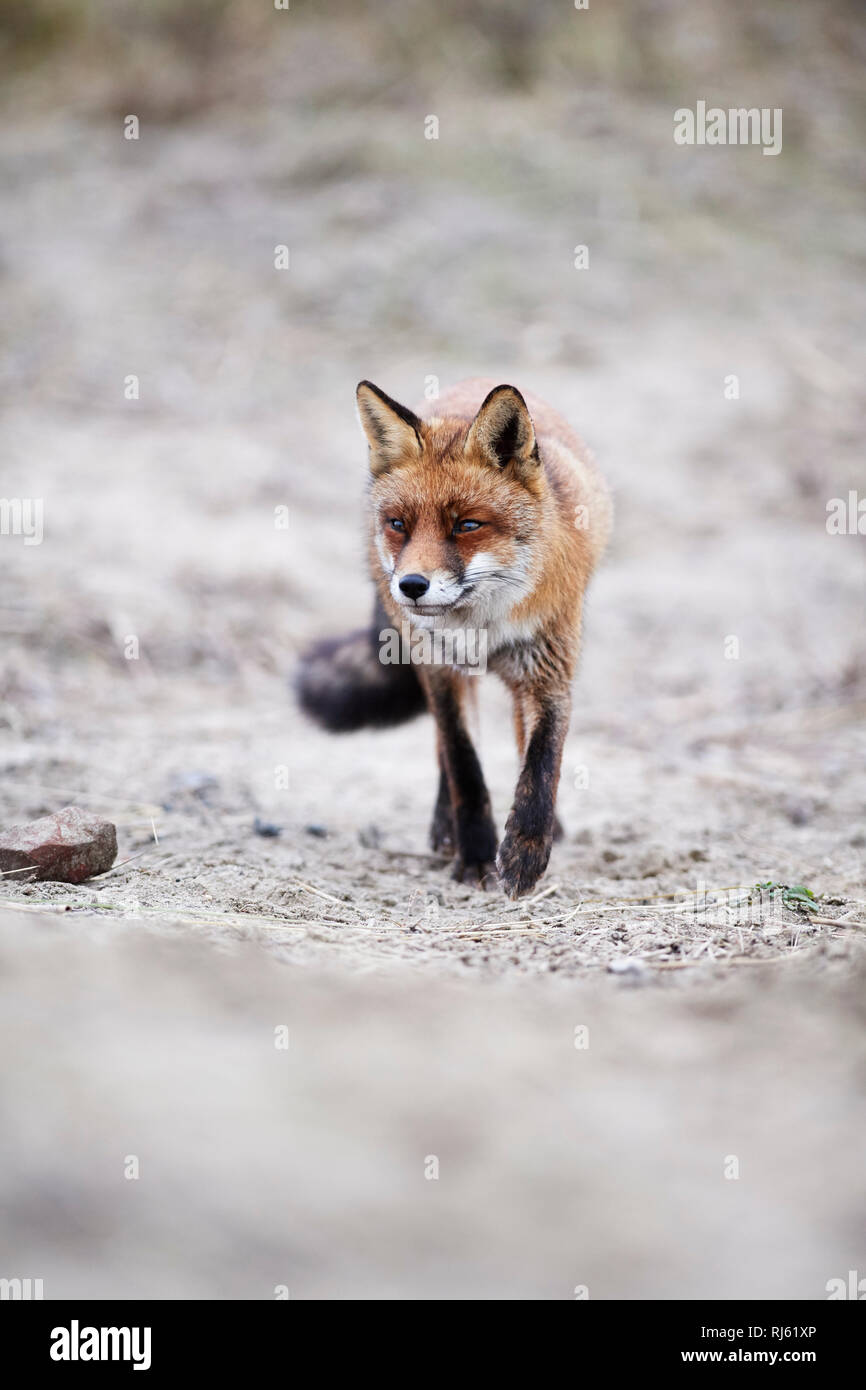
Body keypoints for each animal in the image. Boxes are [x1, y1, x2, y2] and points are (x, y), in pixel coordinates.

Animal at [297, 380, 608, 900]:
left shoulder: (549, 669)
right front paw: (476, 856)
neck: (484, 627)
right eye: (399, 524)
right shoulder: (440, 670)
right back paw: (446, 828)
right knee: (447, 750)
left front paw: (525, 853)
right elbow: (464, 764)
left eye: (466, 525)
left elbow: (542, 763)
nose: (410, 586)